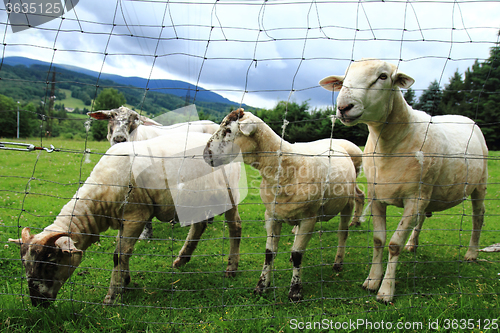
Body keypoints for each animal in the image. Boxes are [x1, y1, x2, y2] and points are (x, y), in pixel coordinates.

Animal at [7, 132, 242, 306]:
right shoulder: (123, 219)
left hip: (229, 194)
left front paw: (111, 297)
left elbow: (118, 255)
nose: (37, 303)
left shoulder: (137, 215)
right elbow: (123, 253)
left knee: (235, 227)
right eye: (24, 264)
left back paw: (231, 269)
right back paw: (182, 259)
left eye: (50, 264)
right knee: (199, 225)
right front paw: (125, 282)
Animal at [203, 109, 360, 300]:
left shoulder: (309, 218)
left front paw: (295, 291)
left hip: (348, 203)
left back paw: (338, 263)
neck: (284, 167)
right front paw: (262, 285)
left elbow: (298, 254)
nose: (205, 154)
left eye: (227, 130)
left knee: (342, 233)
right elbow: (269, 253)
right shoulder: (271, 216)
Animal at [320, 58, 488, 302]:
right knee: (423, 219)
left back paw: (471, 253)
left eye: (382, 77)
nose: (343, 107)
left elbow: (393, 244)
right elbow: (378, 240)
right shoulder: (378, 197)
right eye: (344, 79)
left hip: (479, 184)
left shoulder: (414, 199)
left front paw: (386, 291)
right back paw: (413, 244)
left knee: (478, 216)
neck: (389, 144)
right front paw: (372, 281)